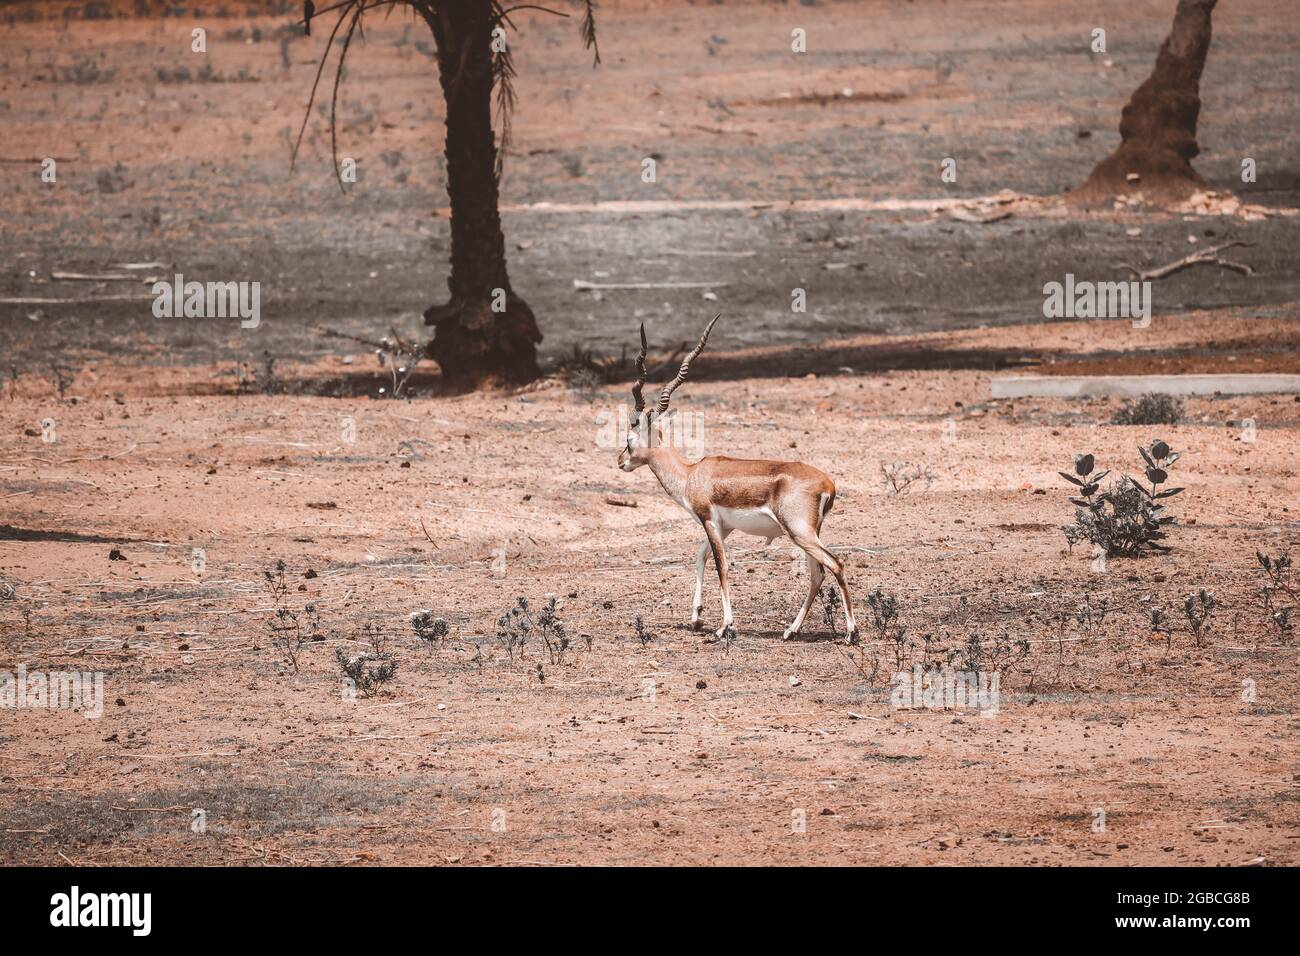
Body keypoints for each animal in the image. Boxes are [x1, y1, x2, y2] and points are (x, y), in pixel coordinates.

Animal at [613, 319, 857, 642]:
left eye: (629, 439)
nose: (620, 461)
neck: (691, 474)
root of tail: (828, 484)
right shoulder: (724, 526)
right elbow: (700, 557)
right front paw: (696, 618)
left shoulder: (709, 520)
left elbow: (721, 565)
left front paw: (724, 627)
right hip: (808, 534)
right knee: (817, 573)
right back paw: (790, 631)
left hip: (799, 532)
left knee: (835, 564)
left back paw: (851, 633)